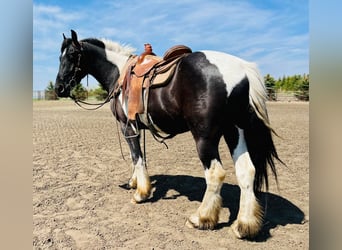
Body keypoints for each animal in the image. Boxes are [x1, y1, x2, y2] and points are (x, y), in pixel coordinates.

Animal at [53, 29, 284, 238]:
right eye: (59, 56)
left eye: (72, 55)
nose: (59, 88)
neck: (119, 73)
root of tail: (243, 69)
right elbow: (137, 157)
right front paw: (134, 182)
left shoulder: (128, 127)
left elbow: (136, 157)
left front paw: (141, 193)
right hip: (235, 131)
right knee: (247, 170)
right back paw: (244, 225)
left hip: (205, 137)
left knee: (215, 174)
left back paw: (201, 218)